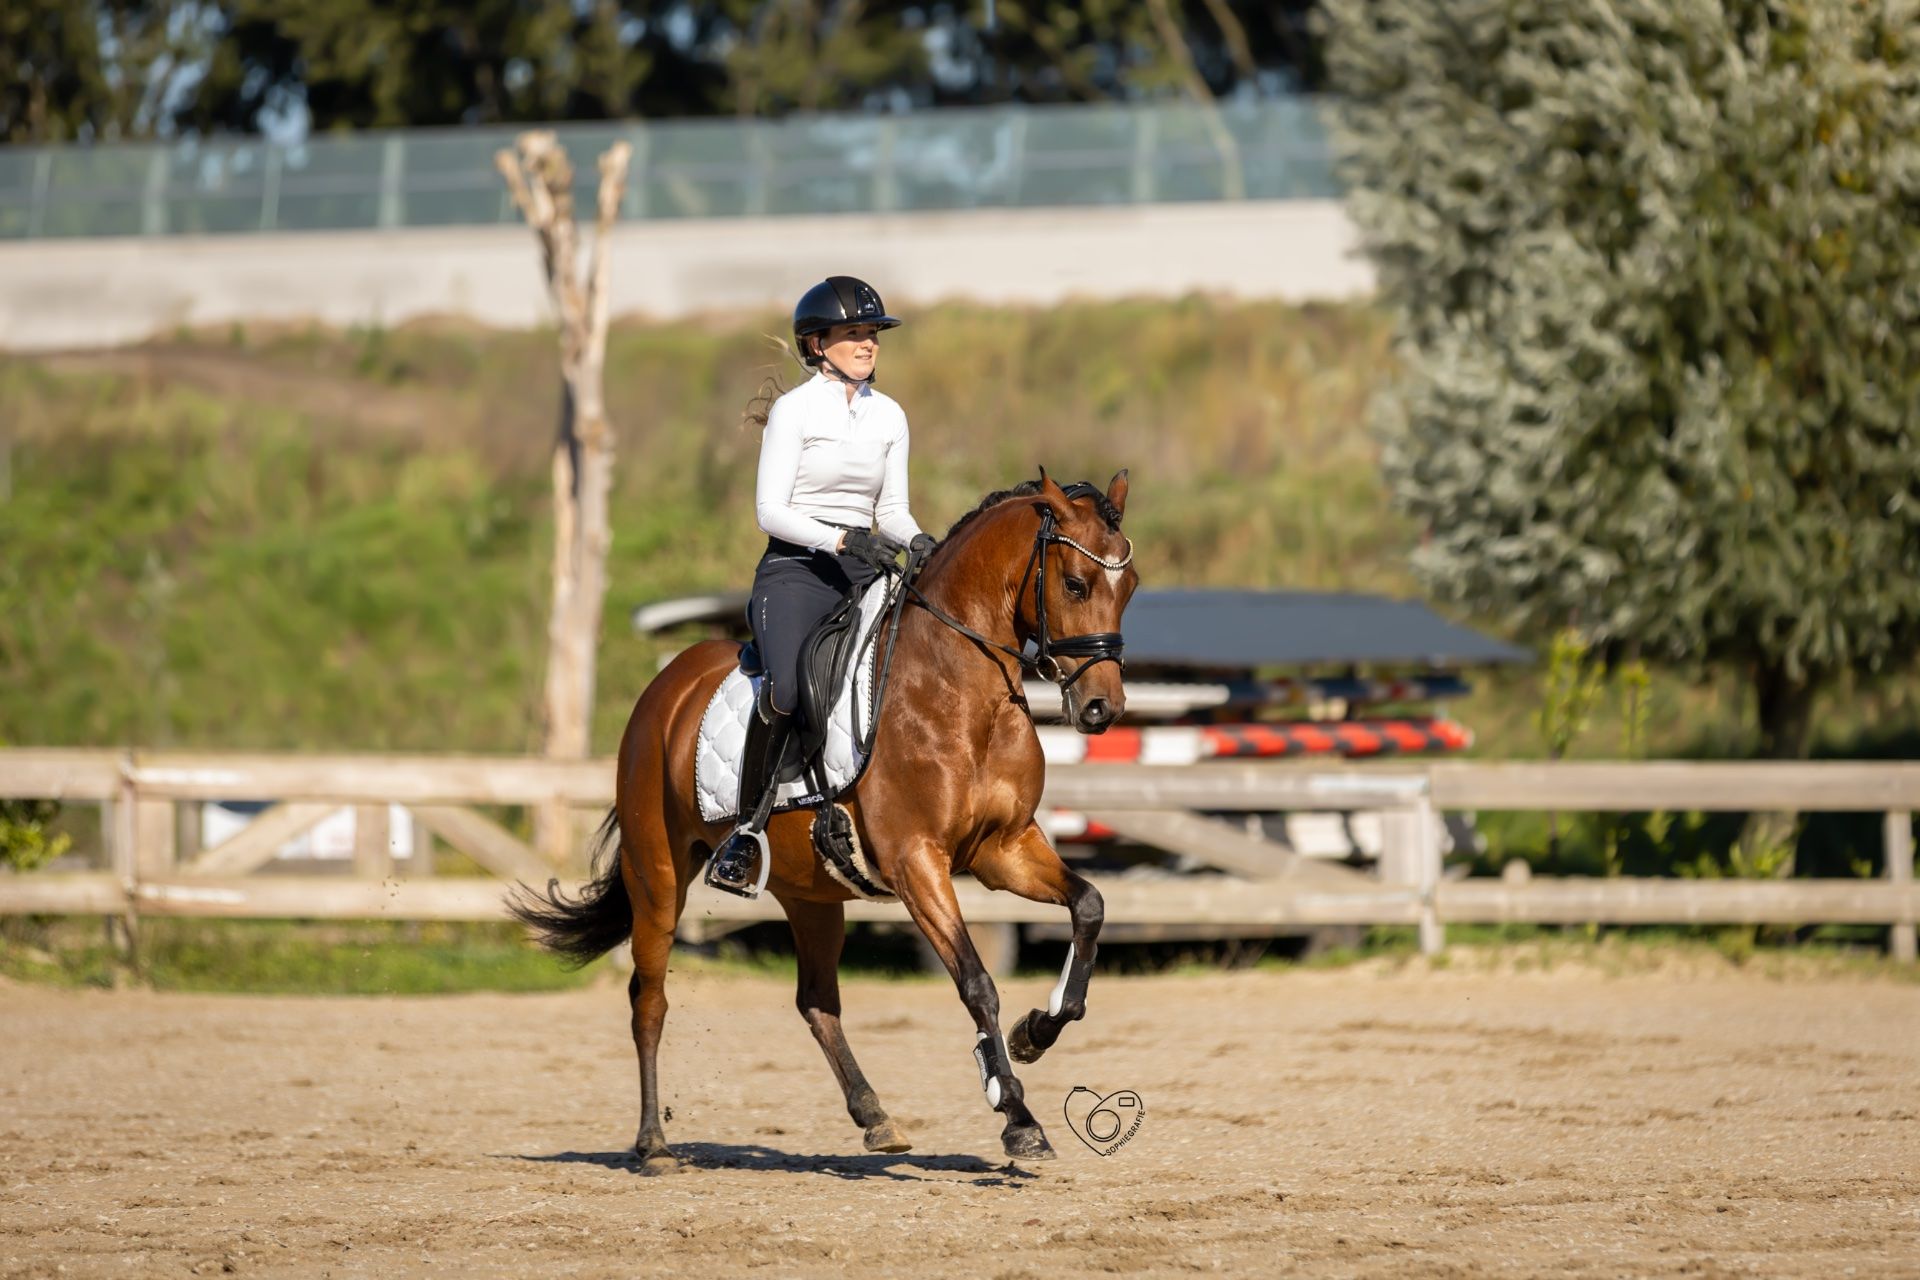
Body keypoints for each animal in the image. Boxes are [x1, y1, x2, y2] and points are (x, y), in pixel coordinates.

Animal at [510, 469, 1138, 1169]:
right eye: (1075, 584)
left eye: (1130, 586)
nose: (1102, 708)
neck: (957, 692)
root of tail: (665, 688)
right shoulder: (917, 862)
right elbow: (977, 982)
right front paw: (1017, 1115)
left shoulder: (1002, 850)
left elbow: (1089, 906)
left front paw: (1036, 1032)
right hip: (658, 877)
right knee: (649, 999)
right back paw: (653, 1145)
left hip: (810, 895)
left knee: (816, 1000)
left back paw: (875, 1117)